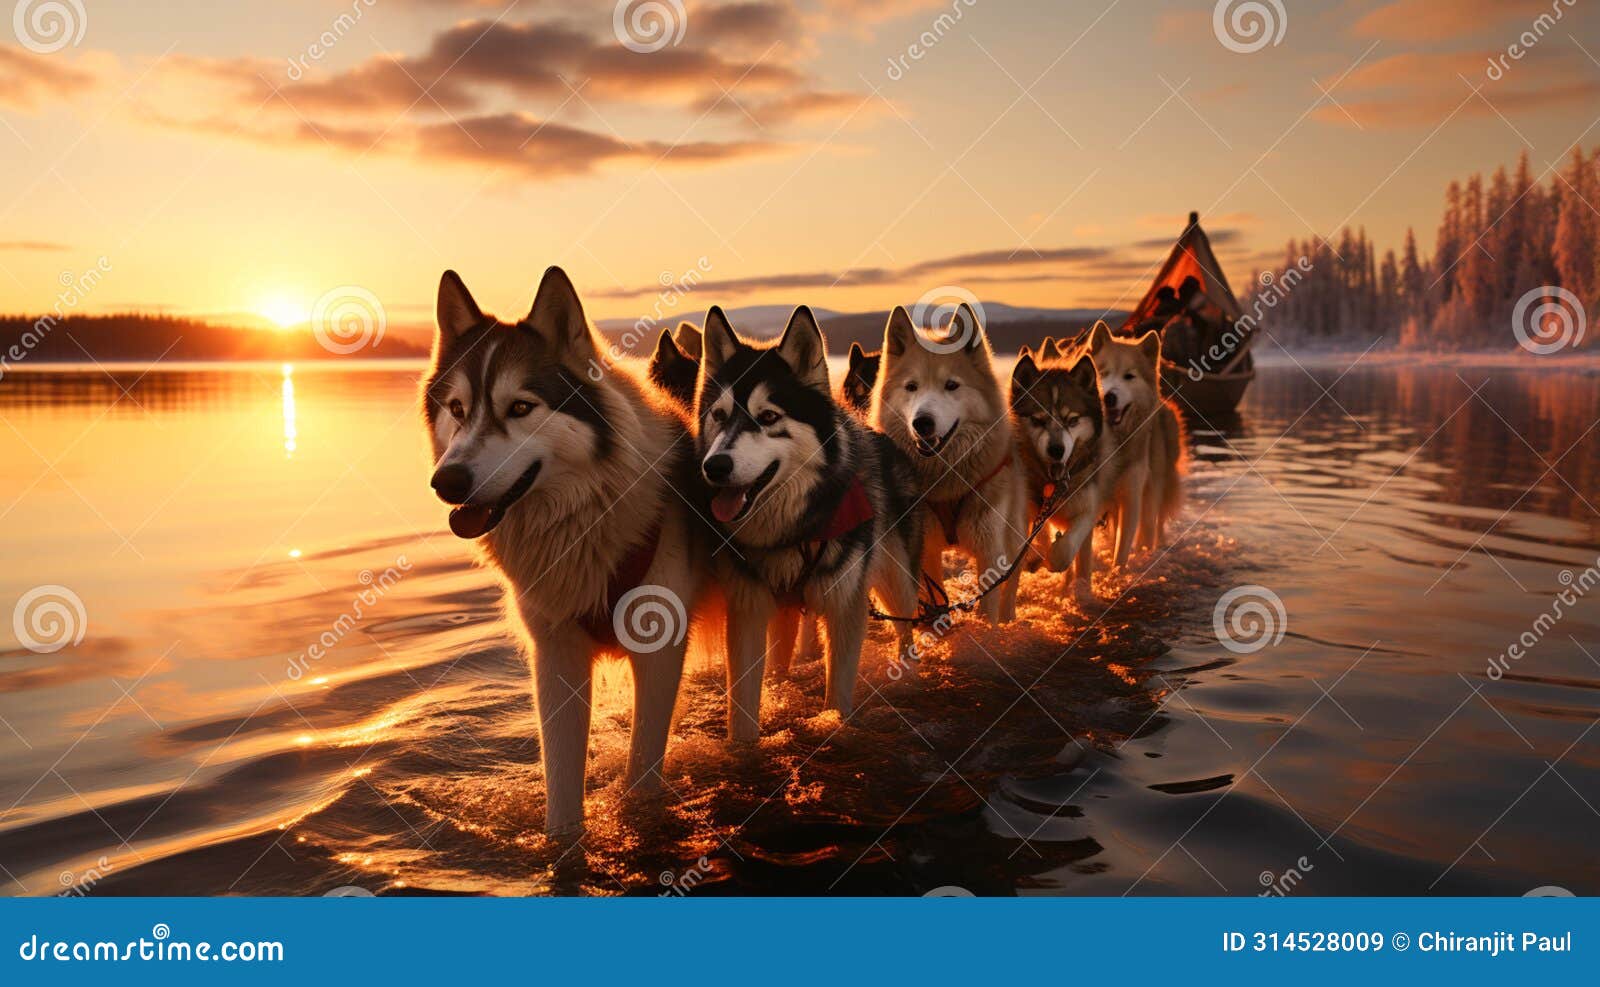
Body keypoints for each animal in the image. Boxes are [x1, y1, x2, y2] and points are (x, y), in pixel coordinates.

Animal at [422, 263, 710, 831]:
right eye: (457, 409)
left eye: (520, 407)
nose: (447, 482)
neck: (587, 523)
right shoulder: (556, 656)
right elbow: (560, 789)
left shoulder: (660, 653)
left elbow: (642, 776)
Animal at [697, 305, 928, 732]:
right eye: (718, 415)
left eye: (768, 416)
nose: (715, 466)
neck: (793, 528)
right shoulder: (748, 609)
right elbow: (742, 703)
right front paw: (743, 743)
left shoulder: (846, 605)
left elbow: (838, 690)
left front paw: (835, 724)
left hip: (896, 578)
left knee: (907, 627)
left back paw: (911, 673)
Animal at [876, 303, 1024, 620]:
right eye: (912, 387)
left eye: (952, 385)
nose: (922, 423)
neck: (947, 477)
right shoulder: (925, 551)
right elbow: (935, 603)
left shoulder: (989, 549)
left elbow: (990, 606)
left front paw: (991, 629)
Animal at [1011, 350, 1113, 595]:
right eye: (1037, 420)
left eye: (1072, 420)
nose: (1056, 450)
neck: (1054, 486)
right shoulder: (1029, 504)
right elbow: (1037, 533)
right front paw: (1034, 557)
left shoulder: (1087, 507)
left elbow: (1067, 548)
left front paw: (1054, 557)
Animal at [1088, 323, 1177, 563]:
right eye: (1102, 373)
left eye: (1129, 376)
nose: (1108, 397)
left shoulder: (1130, 500)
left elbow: (1121, 552)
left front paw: (1118, 573)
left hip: (1150, 499)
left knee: (1150, 530)